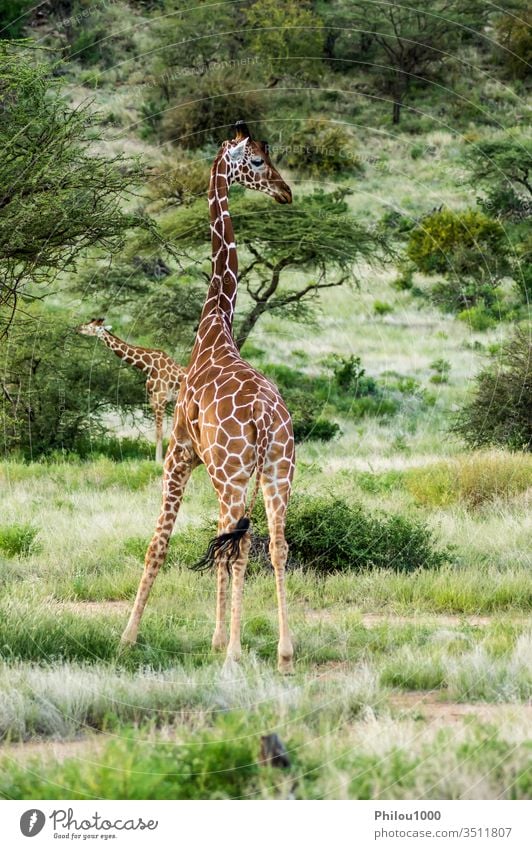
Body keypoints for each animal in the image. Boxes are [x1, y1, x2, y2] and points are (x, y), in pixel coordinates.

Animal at [76, 320, 186, 464]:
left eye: (90, 327)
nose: (77, 328)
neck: (148, 366)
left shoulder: (160, 399)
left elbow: (159, 432)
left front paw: (159, 461)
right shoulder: (153, 400)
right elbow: (162, 431)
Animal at [120, 122, 296, 672]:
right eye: (258, 161)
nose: (285, 192)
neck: (215, 326)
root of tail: (265, 417)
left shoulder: (180, 452)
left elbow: (158, 542)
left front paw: (127, 637)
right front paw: (216, 638)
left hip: (231, 473)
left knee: (238, 545)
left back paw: (237, 651)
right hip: (276, 472)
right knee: (275, 544)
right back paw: (284, 651)